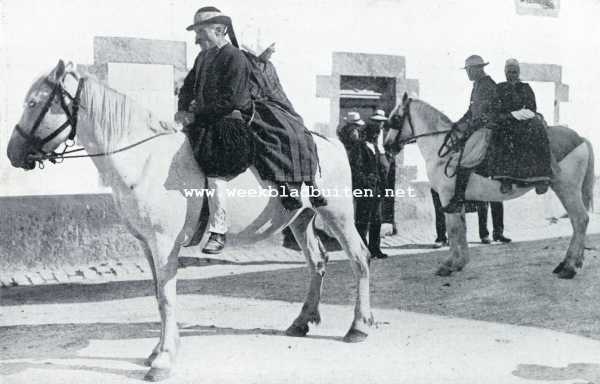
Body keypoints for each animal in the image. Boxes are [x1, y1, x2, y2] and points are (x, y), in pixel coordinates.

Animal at [8, 60, 376, 380]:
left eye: (34, 103)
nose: (12, 154)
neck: (144, 161)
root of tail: (331, 142)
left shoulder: (163, 243)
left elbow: (167, 297)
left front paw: (164, 360)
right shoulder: (147, 245)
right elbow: (158, 296)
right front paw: (158, 351)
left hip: (339, 215)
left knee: (359, 258)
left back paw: (359, 326)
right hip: (301, 220)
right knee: (318, 263)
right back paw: (302, 321)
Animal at [384, 93, 596, 280]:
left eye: (395, 118)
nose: (386, 146)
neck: (445, 149)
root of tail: (580, 138)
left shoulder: (446, 197)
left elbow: (453, 230)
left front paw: (449, 264)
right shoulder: (456, 201)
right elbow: (461, 229)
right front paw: (460, 262)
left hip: (567, 189)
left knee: (580, 220)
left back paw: (569, 267)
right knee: (579, 222)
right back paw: (571, 262)